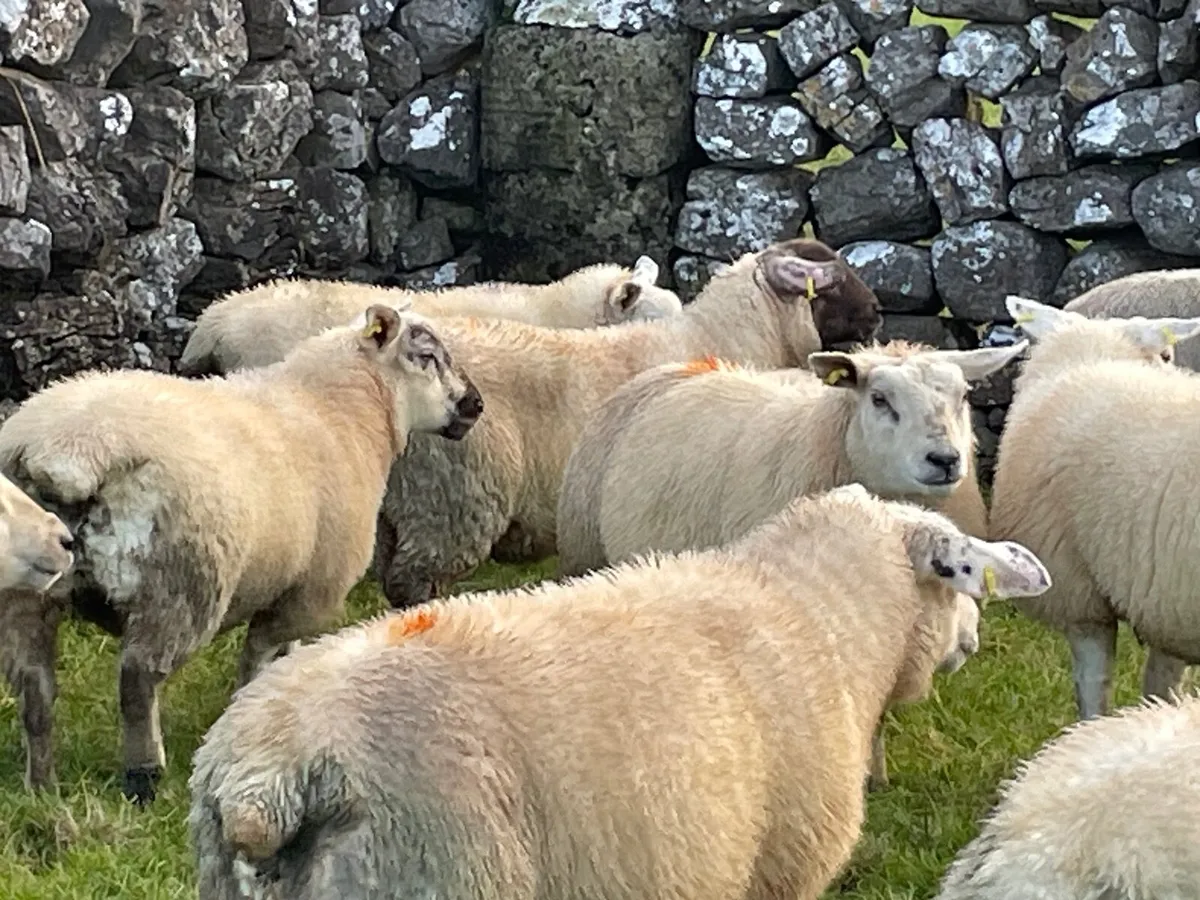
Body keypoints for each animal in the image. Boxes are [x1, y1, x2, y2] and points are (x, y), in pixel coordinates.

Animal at [0, 303, 484, 804]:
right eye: (427, 356)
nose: (475, 405)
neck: (342, 413)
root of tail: (70, 452)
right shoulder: (312, 593)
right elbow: (258, 654)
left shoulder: (291, 591)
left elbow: (283, 655)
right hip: (179, 588)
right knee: (136, 680)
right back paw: (143, 777)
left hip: (25, 594)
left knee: (35, 690)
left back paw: (42, 786)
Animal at [188, 483, 1052, 900]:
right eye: (958, 577)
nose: (975, 642)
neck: (823, 621)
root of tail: (267, 778)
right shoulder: (779, 872)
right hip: (435, 874)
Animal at [988, 295, 1200, 723]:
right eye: (1167, 354)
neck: (1091, 358)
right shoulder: (1166, 598)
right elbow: (1162, 688)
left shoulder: (1080, 592)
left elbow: (1092, 686)